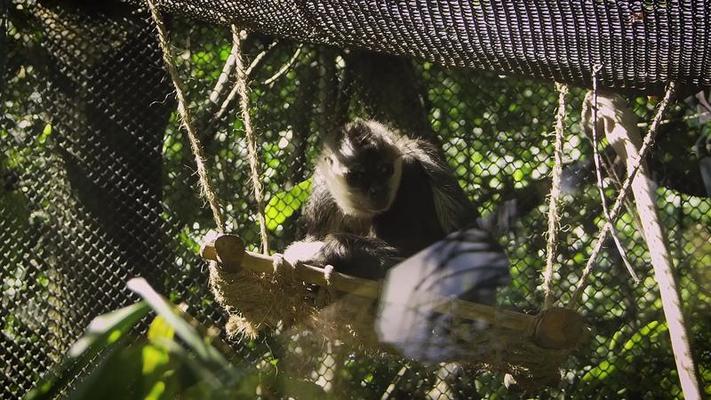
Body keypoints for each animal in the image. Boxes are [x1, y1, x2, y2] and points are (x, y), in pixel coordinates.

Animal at [276, 117, 478, 276]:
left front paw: (331, 251)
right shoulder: (323, 195)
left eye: (384, 170)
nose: (377, 190)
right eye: (358, 176)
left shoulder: (413, 165)